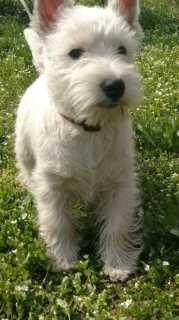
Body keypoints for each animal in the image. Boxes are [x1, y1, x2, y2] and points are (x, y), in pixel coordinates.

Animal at [16, 0, 143, 280]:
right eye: (75, 53)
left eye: (122, 49)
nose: (115, 85)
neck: (88, 129)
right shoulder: (52, 188)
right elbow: (58, 223)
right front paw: (63, 259)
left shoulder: (120, 184)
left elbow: (117, 225)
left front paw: (118, 264)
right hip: (23, 146)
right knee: (26, 165)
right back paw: (26, 180)